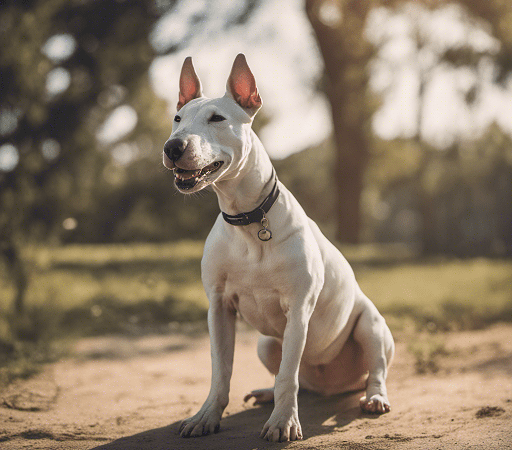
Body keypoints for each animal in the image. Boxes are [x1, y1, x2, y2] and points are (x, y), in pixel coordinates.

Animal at [162, 53, 394, 442]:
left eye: (217, 118)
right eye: (177, 119)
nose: (172, 147)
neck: (247, 219)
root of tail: (332, 387)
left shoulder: (298, 309)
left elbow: (288, 374)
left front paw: (284, 422)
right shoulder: (219, 307)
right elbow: (221, 370)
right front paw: (206, 416)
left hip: (371, 326)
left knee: (371, 368)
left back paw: (374, 398)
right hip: (266, 342)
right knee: (290, 372)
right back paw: (267, 393)